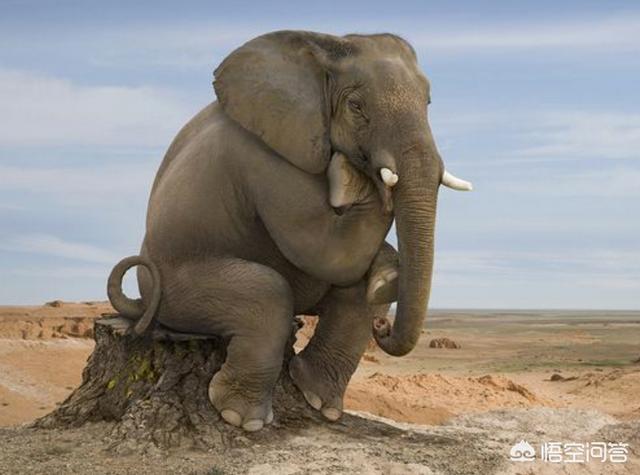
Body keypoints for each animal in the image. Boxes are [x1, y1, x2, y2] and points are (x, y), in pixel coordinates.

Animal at [107, 30, 472, 432]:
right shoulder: (266, 156)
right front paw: (352, 180)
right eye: (356, 106)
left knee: (358, 294)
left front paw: (387, 271)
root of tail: (143, 301)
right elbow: (322, 249)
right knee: (269, 292)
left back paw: (320, 399)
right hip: (176, 289)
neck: (321, 48)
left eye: (429, 102)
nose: (382, 329)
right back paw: (242, 417)